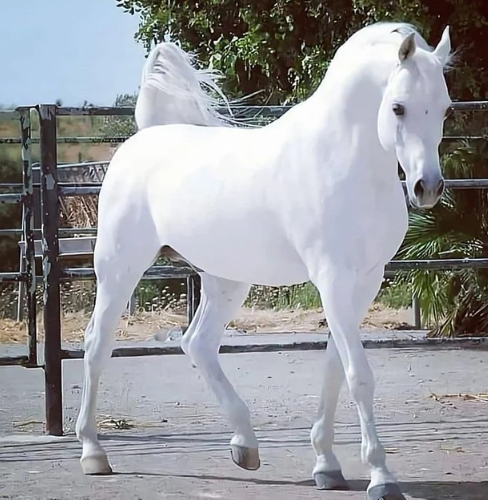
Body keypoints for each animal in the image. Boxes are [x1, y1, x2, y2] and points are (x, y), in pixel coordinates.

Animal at [76, 21, 454, 498]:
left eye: (445, 108)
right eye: (398, 107)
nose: (428, 188)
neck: (344, 161)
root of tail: (144, 136)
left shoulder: (364, 282)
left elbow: (334, 369)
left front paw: (327, 466)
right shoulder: (332, 279)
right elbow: (358, 376)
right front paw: (381, 477)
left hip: (225, 280)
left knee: (197, 343)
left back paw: (245, 445)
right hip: (119, 267)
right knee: (97, 344)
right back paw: (93, 452)